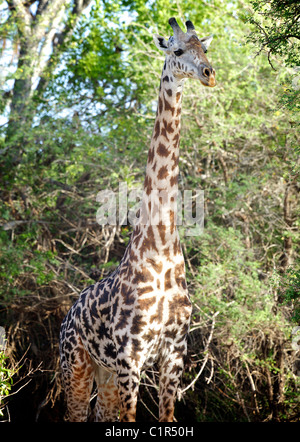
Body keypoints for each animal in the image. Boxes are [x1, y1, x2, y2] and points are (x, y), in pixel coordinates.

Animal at [59, 17, 216, 424]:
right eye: (178, 50)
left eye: (205, 48)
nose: (208, 74)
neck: (158, 248)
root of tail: (67, 314)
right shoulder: (132, 354)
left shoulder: (174, 351)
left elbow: (167, 416)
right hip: (76, 365)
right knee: (75, 413)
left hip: (106, 374)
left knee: (102, 415)